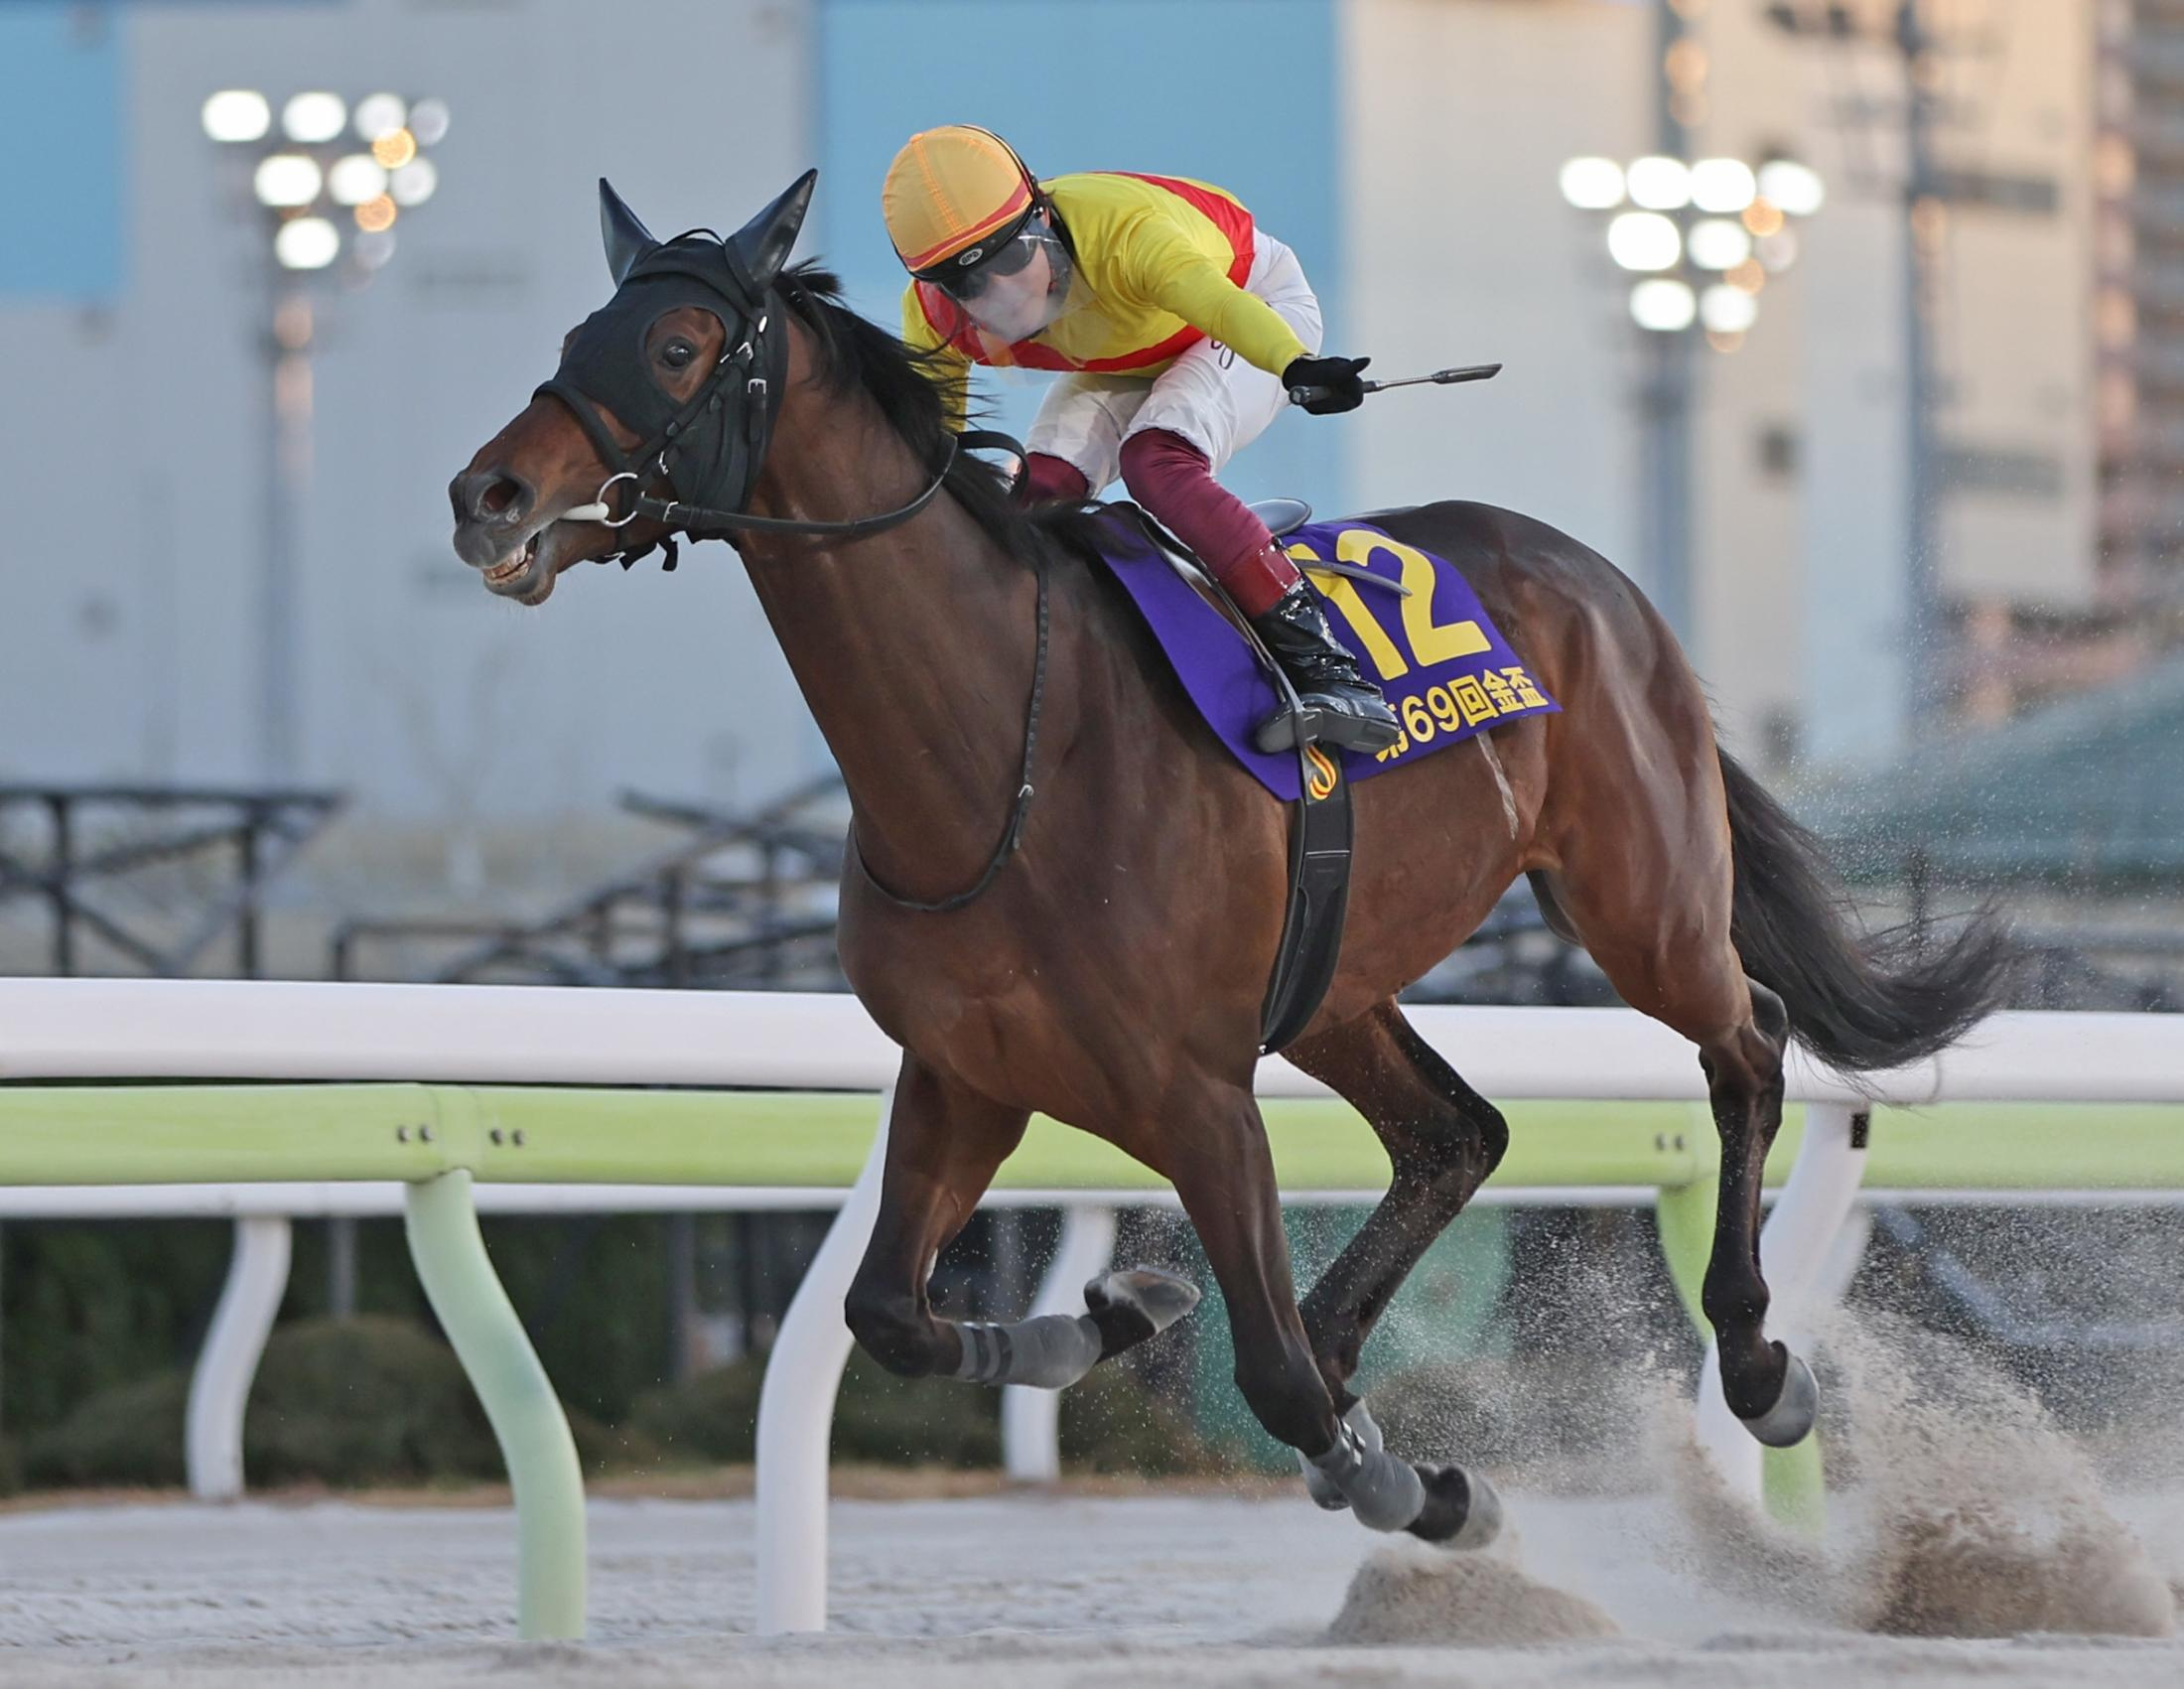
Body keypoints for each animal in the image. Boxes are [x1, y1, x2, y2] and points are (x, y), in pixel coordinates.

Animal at [452, 171, 2000, 1538]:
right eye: (574, 340)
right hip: (1336, 982)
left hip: (1644, 900)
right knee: (1457, 1134)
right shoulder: (967, 1071)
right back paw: (1348, 1336)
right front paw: (1114, 1315)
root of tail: (1606, 583)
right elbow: (888, 1311)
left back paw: (1755, 1361)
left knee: (1749, 1044)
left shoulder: (1197, 1092)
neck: (1000, 752)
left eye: (676, 346)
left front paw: (1418, 1486)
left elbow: (1269, 1381)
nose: (487, 495)